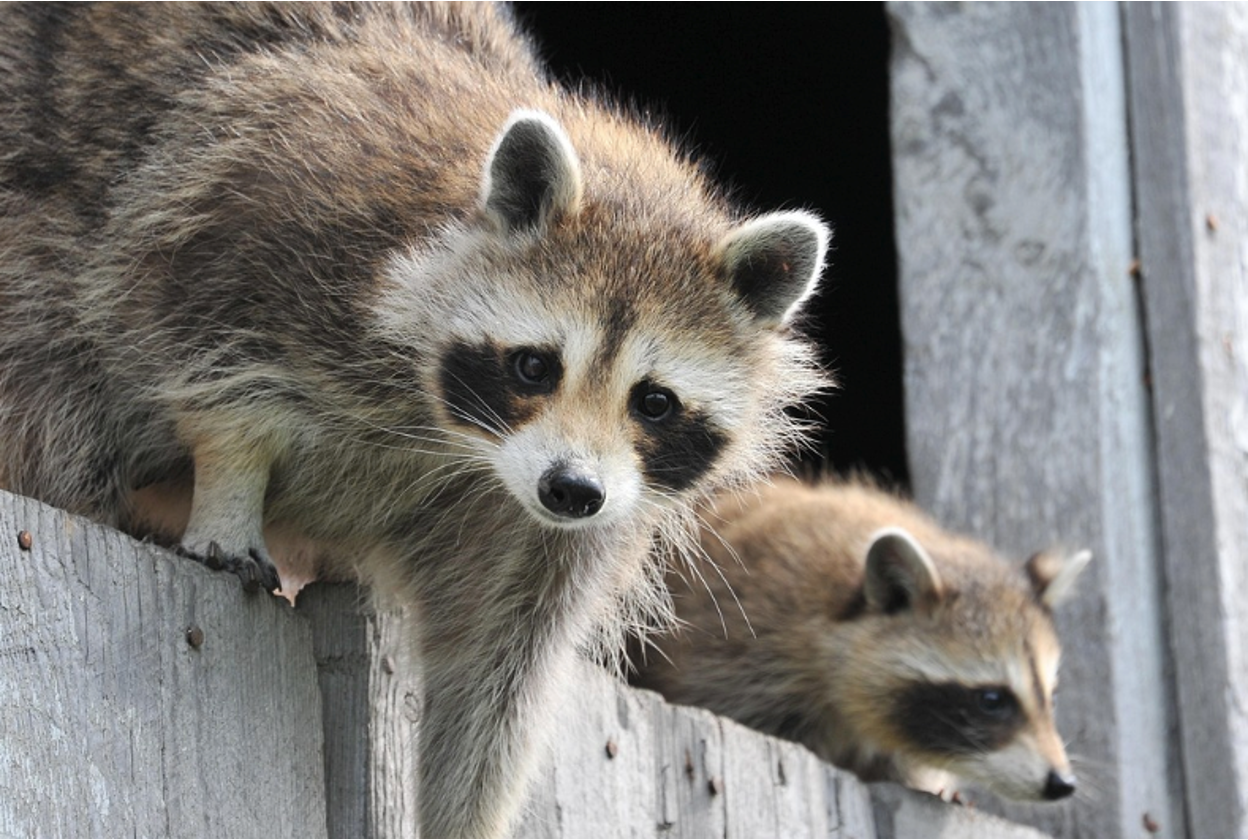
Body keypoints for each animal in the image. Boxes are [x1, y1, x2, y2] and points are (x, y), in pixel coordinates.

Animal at [0, 3, 829, 837]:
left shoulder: (557, 526)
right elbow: (201, 340)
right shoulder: (265, 204)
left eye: (653, 401)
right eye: (536, 366)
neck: (461, 440)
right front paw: (231, 481)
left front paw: (466, 810)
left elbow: (497, 674)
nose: (570, 490)